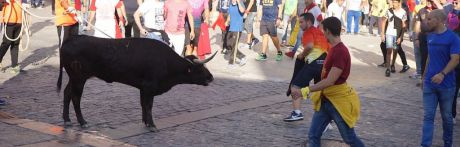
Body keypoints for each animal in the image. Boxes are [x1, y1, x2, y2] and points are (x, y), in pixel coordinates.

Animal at [57, 35, 216, 131]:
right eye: (200, 68)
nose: (211, 77)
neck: (166, 61)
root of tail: (71, 39)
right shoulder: (149, 87)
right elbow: (149, 105)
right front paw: (152, 125)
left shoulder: (143, 88)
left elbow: (143, 105)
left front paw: (145, 122)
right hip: (79, 78)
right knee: (75, 97)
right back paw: (82, 122)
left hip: (74, 78)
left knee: (66, 93)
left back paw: (67, 119)